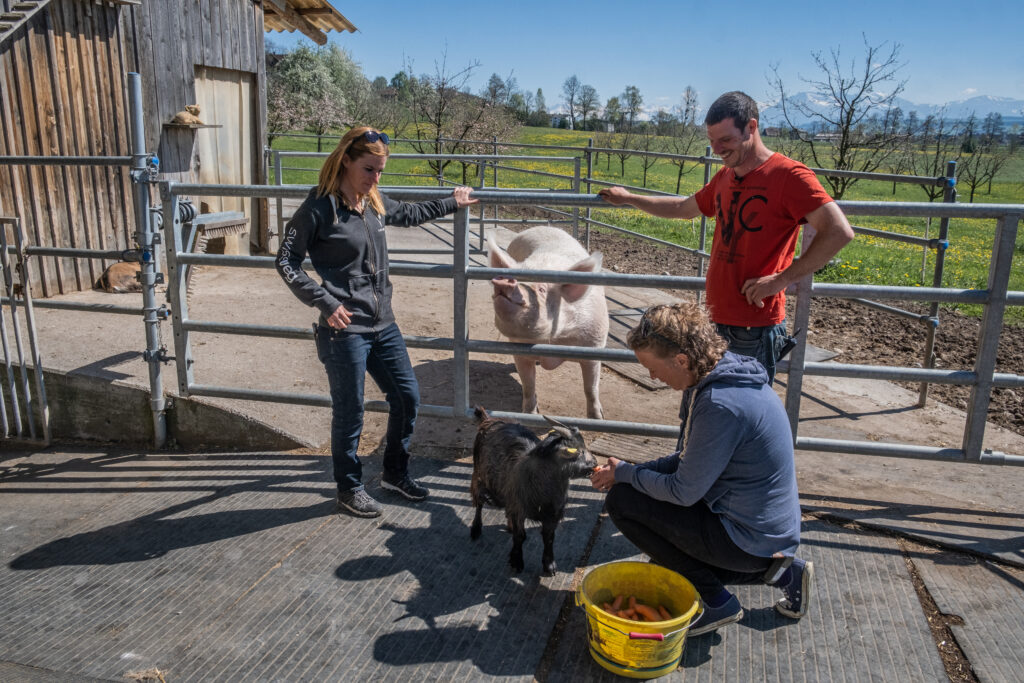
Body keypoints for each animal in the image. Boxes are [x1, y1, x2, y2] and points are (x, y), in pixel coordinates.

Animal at [468, 405, 598, 577]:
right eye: (579, 450)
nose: (595, 462)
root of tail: (489, 419)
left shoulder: (552, 514)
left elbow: (548, 537)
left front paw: (549, 566)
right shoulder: (519, 510)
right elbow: (520, 536)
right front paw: (517, 562)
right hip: (479, 475)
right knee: (478, 501)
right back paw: (476, 529)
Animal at [487, 227, 606, 419]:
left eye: (542, 289)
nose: (504, 280)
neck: (551, 341)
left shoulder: (594, 344)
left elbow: (591, 388)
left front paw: (598, 418)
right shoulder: (519, 351)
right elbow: (528, 385)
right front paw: (529, 414)